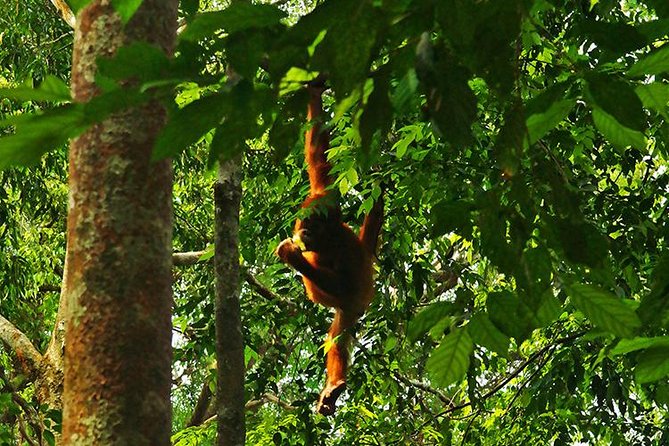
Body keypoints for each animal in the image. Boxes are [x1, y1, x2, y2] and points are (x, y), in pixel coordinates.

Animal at [275, 82, 384, 416]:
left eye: (314, 226)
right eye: (305, 221)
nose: (303, 232)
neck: (329, 239)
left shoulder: (346, 252)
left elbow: (343, 282)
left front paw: (292, 256)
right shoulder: (324, 193)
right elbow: (318, 158)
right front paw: (313, 93)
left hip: (352, 306)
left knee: (337, 335)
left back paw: (335, 384)